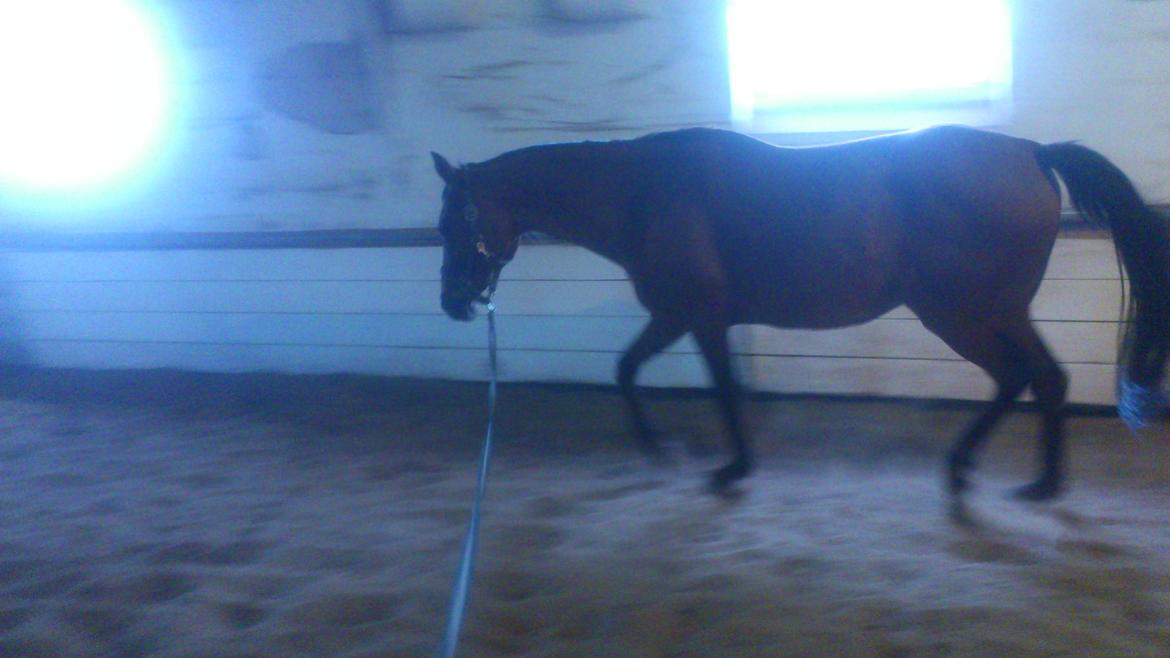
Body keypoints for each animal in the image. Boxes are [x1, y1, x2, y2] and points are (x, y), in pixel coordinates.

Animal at [431, 125, 1170, 500]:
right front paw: (659, 447)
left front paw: (731, 469)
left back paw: (1028, 482)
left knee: (1032, 378)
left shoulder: (700, 319)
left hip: (967, 313)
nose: (455, 304)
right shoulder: (674, 316)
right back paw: (1003, 474)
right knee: (1035, 379)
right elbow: (625, 369)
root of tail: (1030, 154)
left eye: (454, 222)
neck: (646, 192)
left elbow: (723, 390)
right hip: (988, 313)